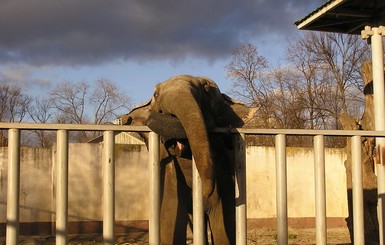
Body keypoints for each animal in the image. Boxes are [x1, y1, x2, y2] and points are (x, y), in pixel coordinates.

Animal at [120, 75, 252, 245]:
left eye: (206, 89)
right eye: (156, 95)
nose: (125, 118)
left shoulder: (225, 175)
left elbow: (224, 229)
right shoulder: (169, 177)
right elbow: (170, 226)